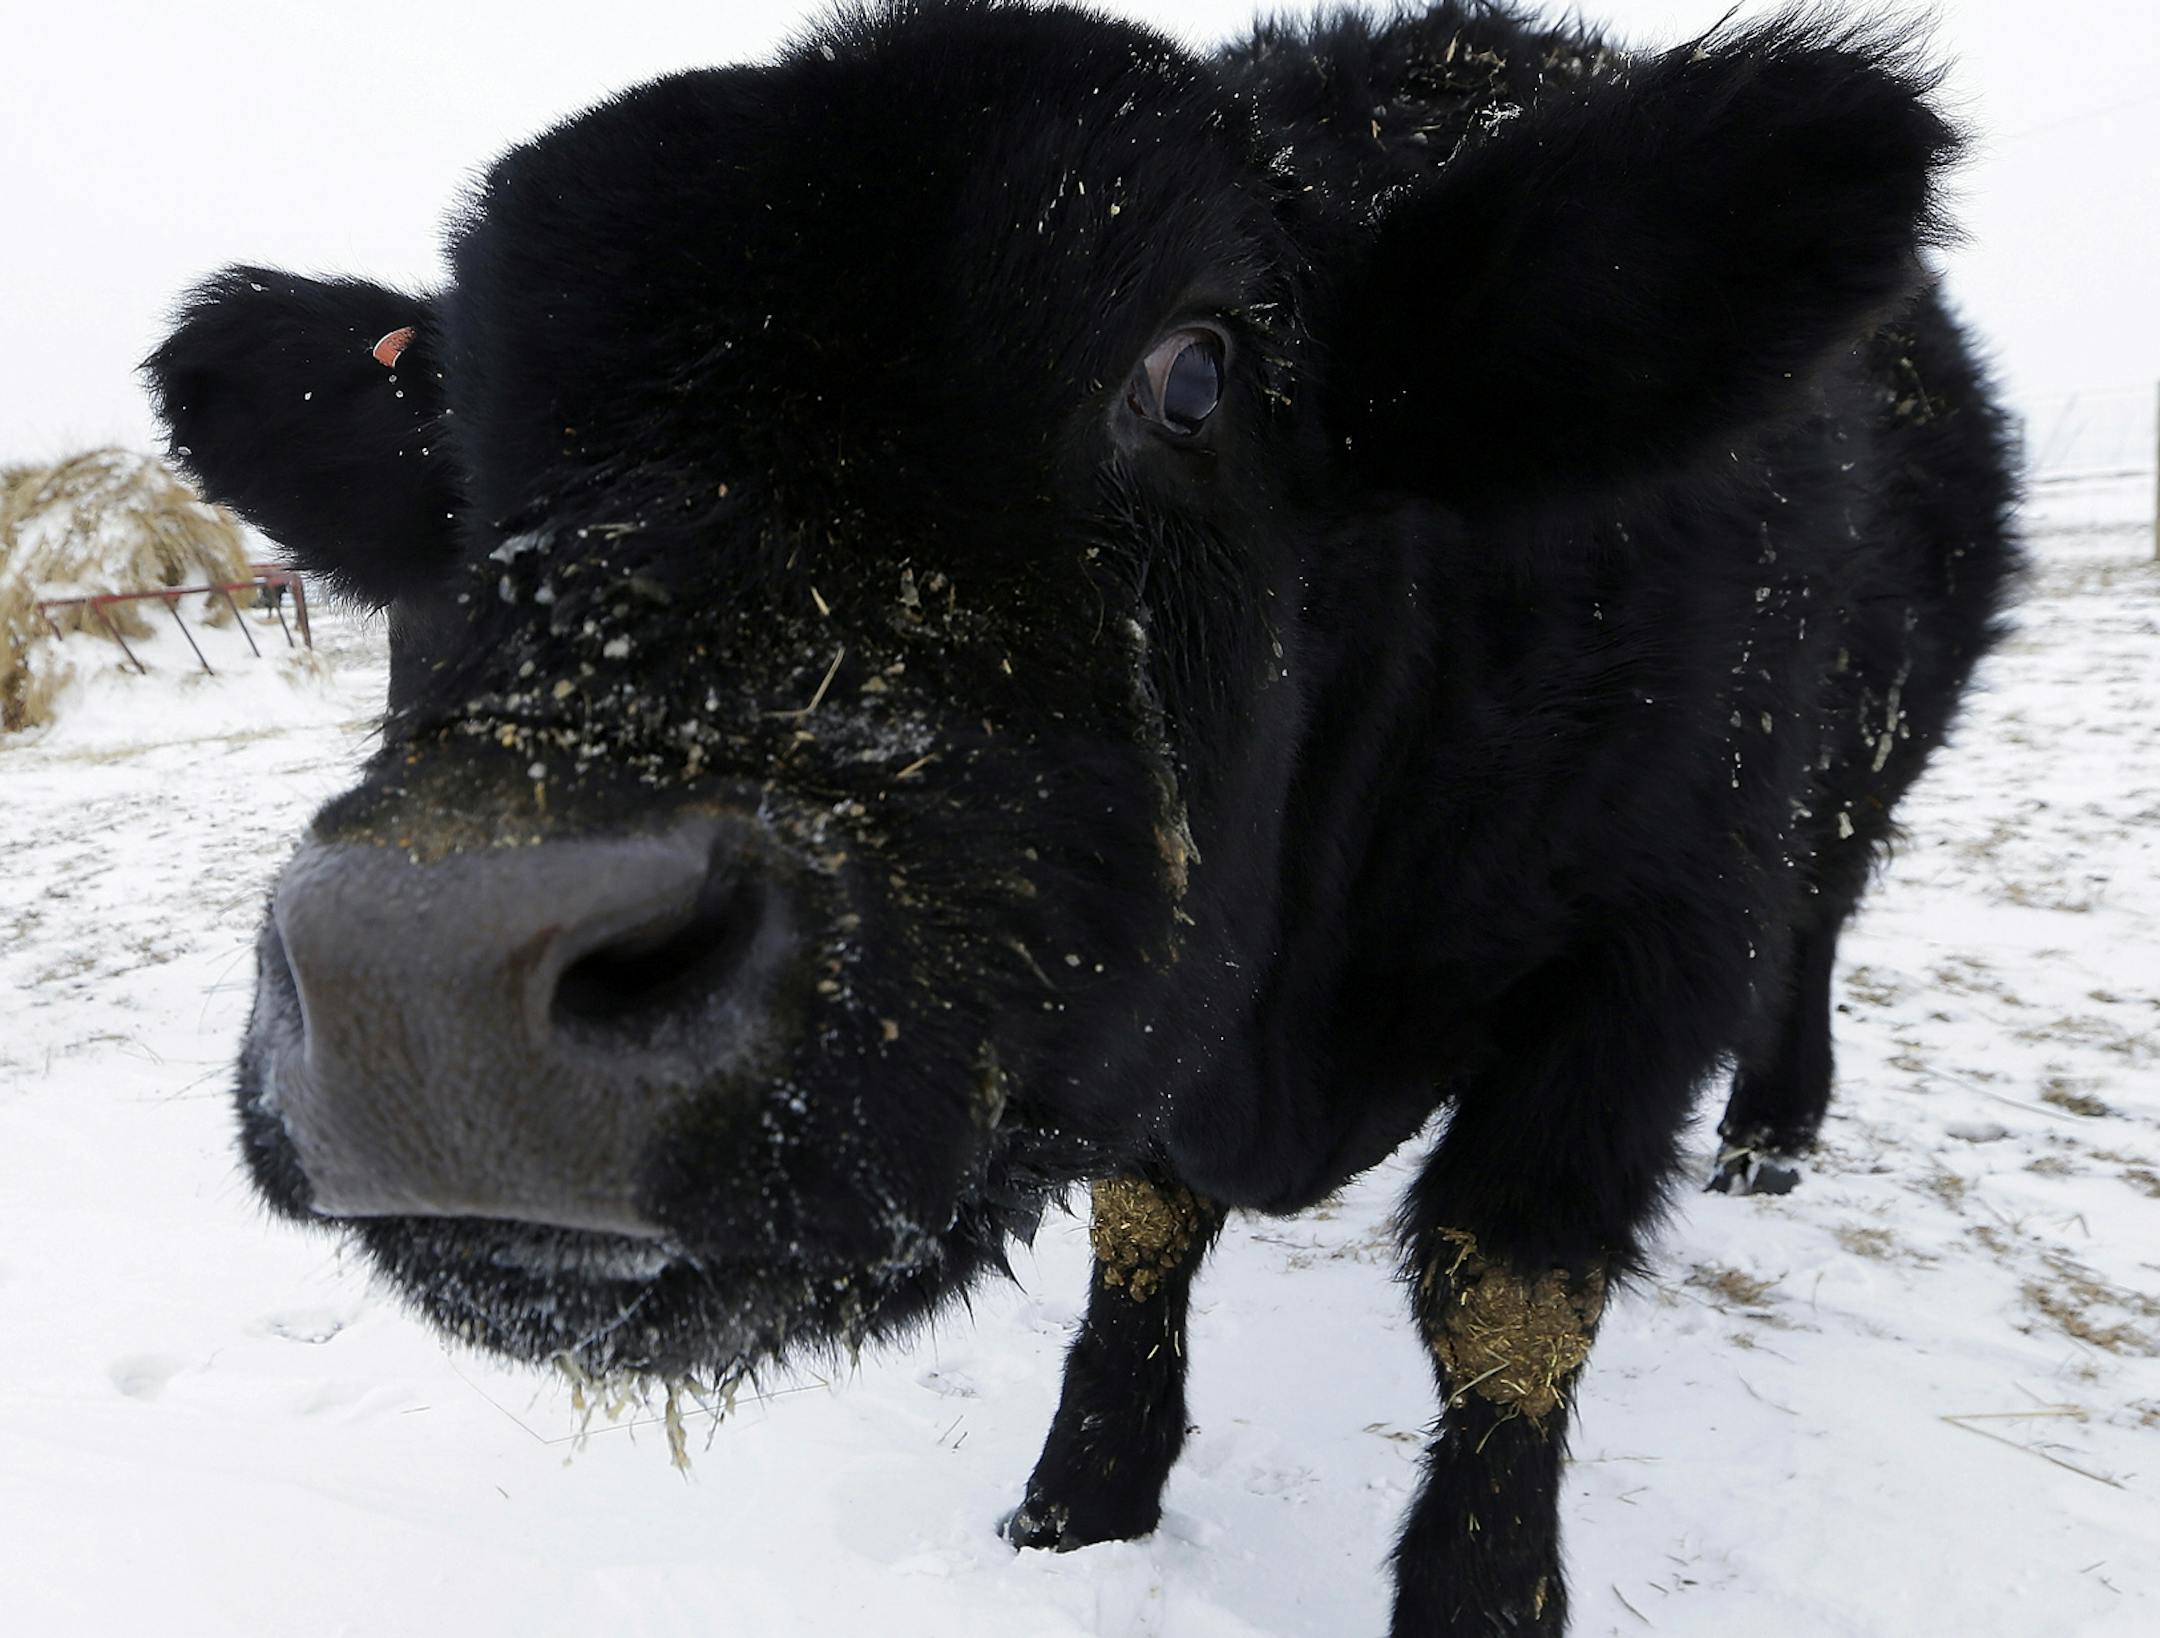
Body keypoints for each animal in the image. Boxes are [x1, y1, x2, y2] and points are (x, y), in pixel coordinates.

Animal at [146, 2, 2018, 1630]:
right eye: (454, 449)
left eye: (1194, 373)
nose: (427, 976)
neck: (1292, 1035)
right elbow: (1143, 1226)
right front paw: (1080, 1502)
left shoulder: (1644, 950)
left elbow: (1507, 1298)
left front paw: (1479, 1594)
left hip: (1851, 781)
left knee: (1818, 923)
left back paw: (1773, 1127)